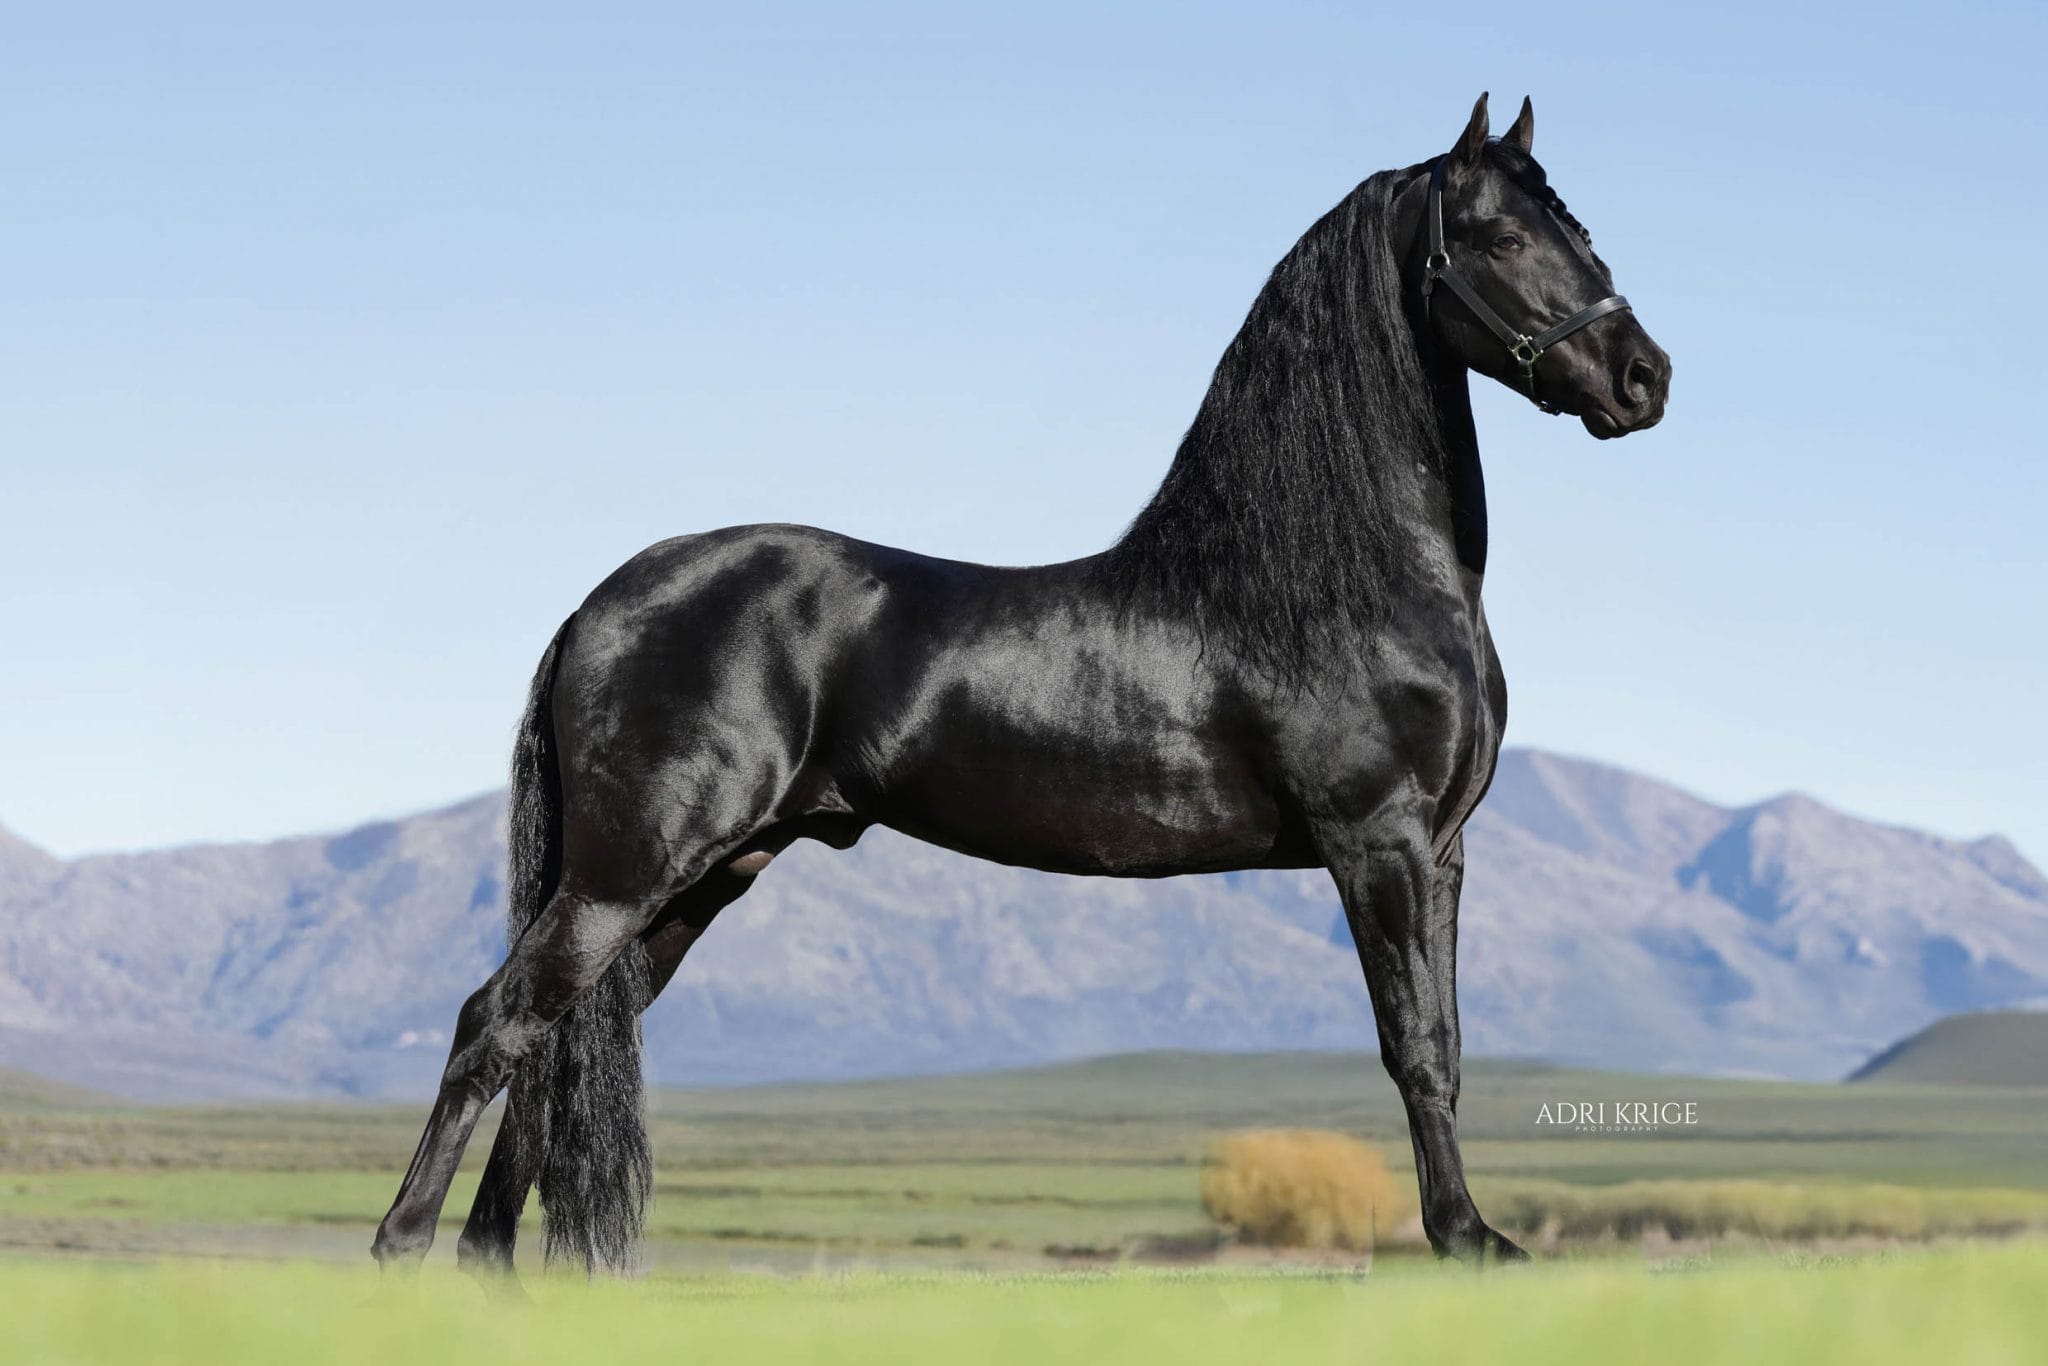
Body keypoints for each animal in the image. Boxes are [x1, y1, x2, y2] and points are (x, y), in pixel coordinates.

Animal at [372, 92, 1671, 1282]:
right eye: (1497, 236)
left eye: (1576, 225)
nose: (1641, 377)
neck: (1329, 579)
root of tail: (596, 606)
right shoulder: (1377, 840)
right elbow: (1411, 1044)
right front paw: (1466, 1239)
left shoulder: (1440, 851)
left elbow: (1443, 1037)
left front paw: (1471, 1231)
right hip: (627, 869)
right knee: (497, 1022)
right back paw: (400, 1247)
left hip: (697, 881)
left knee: (556, 1043)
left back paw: (488, 1272)